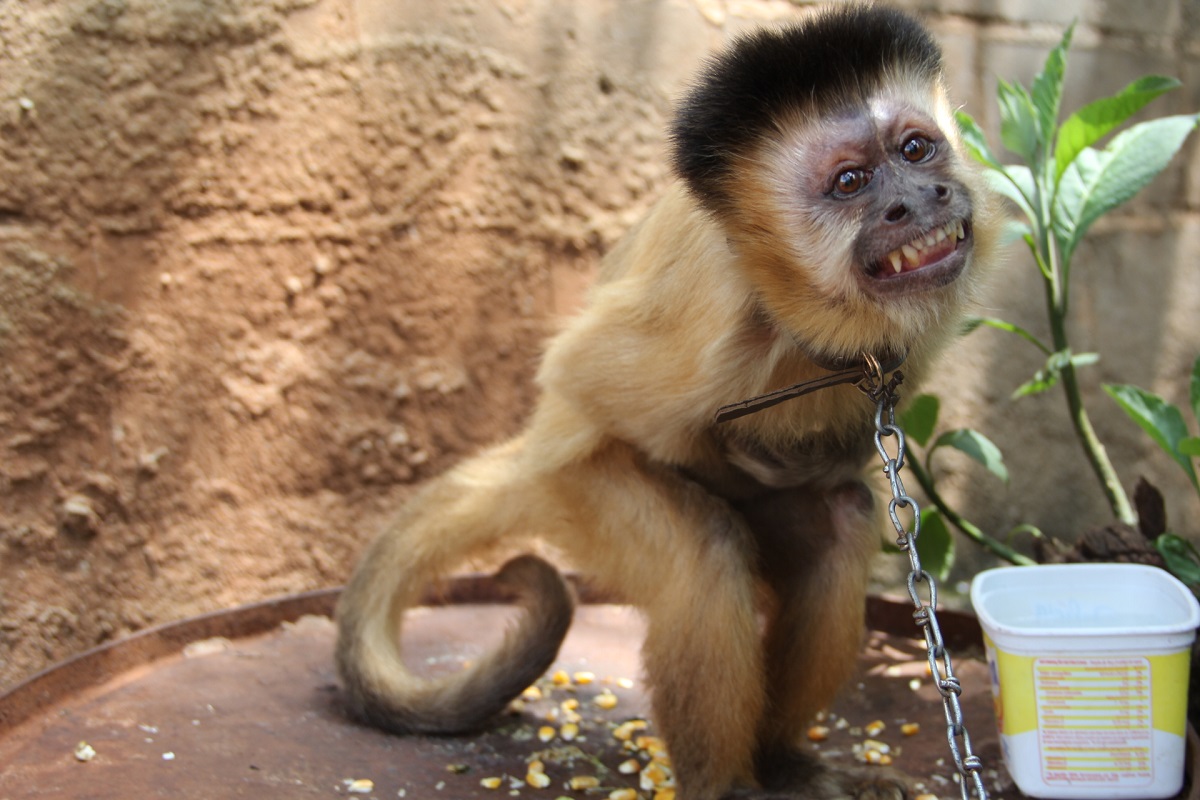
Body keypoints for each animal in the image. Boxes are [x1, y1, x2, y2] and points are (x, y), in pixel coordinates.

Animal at [333, 6, 998, 800]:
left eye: (916, 149)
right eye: (851, 182)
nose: (915, 201)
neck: (800, 302)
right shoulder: (717, 315)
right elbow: (580, 378)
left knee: (843, 519)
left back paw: (785, 760)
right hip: (577, 490)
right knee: (705, 548)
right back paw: (731, 782)